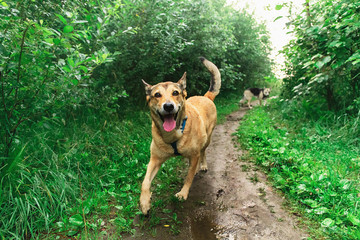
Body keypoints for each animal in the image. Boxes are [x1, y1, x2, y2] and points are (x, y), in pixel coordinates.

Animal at [140, 57, 219, 214]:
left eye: (175, 93)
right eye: (157, 95)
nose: (168, 106)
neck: (172, 135)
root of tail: (206, 96)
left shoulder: (194, 154)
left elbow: (188, 177)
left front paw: (183, 193)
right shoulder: (155, 160)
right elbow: (145, 182)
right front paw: (144, 203)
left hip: (207, 139)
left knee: (203, 152)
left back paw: (202, 165)